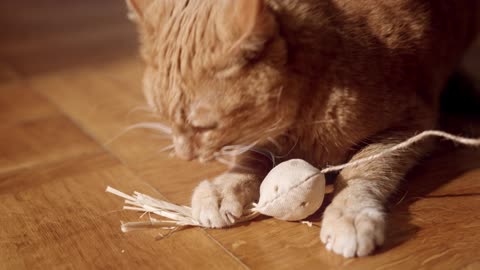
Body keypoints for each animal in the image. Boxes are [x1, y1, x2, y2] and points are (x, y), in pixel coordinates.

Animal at [125, 0, 478, 258]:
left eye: (204, 126)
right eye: (162, 115)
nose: (183, 154)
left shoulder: (410, 124)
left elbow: (364, 169)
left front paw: (349, 212)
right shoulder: (264, 140)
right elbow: (248, 160)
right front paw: (222, 188)